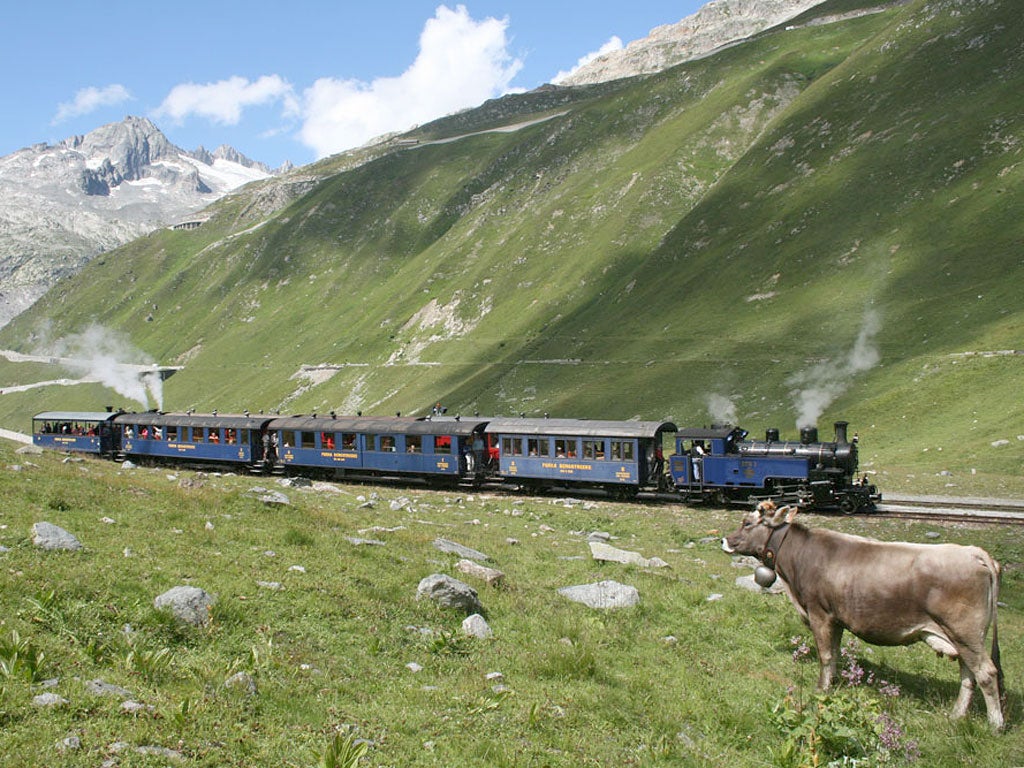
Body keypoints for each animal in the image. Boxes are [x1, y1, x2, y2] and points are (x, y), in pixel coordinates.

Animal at [724, 501, 1003, 729]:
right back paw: (957, 715)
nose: (723, 540)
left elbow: (825, 655)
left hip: (965, 632)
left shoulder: (818, 612)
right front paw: (834, 683)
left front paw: (820, 689)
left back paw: (996, 725)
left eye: (747, 523)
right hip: (963, 637)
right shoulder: (836, 618)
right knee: (968, 675)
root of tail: (975, 552)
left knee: (986, 673)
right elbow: (835, 653)